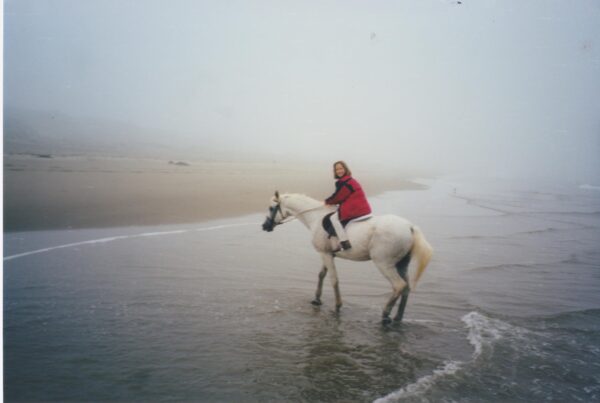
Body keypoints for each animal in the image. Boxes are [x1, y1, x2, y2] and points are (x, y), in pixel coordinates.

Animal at [262, 192, 432, 326]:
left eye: (271, 208)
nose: (264, 226)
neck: (316, 217)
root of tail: (409, 227)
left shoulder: (325, 254)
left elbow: (333, 280)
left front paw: (337, 306)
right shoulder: (328, 254)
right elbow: (321, 275)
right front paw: (317, 299)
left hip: (384, 264)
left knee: (399, 286)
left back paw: (385, 315)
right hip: (401, 264)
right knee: (407, 288)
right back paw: (398, 317)